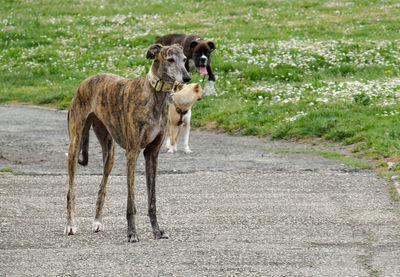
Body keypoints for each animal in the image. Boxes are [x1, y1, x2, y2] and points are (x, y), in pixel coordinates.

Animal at [65, 43, 190, 242]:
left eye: (184, 59)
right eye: (170, 59)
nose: (187, 78)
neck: (154, 94)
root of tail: (85, 82)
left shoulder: (152, 154)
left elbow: (152, 200)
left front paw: (157, 230)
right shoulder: (132, 152)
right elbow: (131, 201)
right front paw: (132, 232)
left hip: (109, 152)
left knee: (102, 187)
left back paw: (97, 222)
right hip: (75, 144)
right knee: (71, 189)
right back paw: (70, 225)